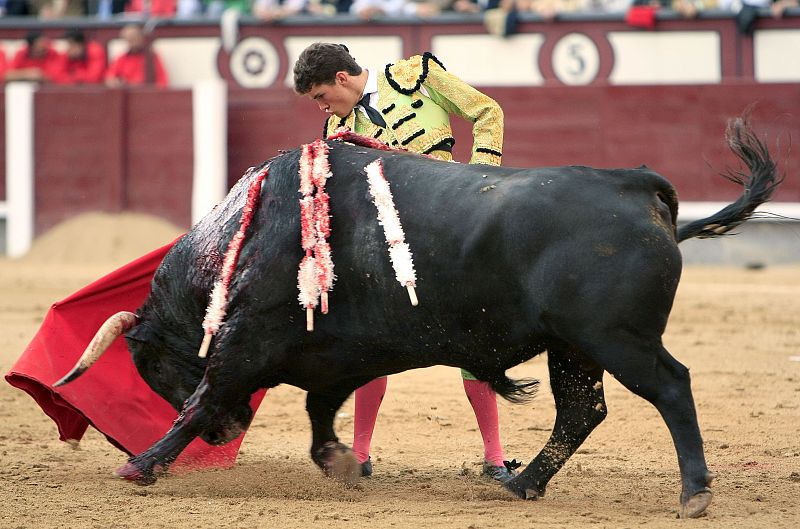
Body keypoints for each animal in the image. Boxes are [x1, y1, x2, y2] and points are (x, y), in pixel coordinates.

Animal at [57, 116, 780, 516]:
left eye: (148, 365)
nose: (228, 435)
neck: (247, 234)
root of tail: (634, 184)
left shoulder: (244, 345)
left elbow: (201, 399)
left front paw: (141, 465)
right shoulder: (334, 358)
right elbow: (321, 412)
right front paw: (342, 465)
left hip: (617, 337)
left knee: (670, 388)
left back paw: (693, 493)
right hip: (573, 346)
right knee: (581, 411)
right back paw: (522, 484)